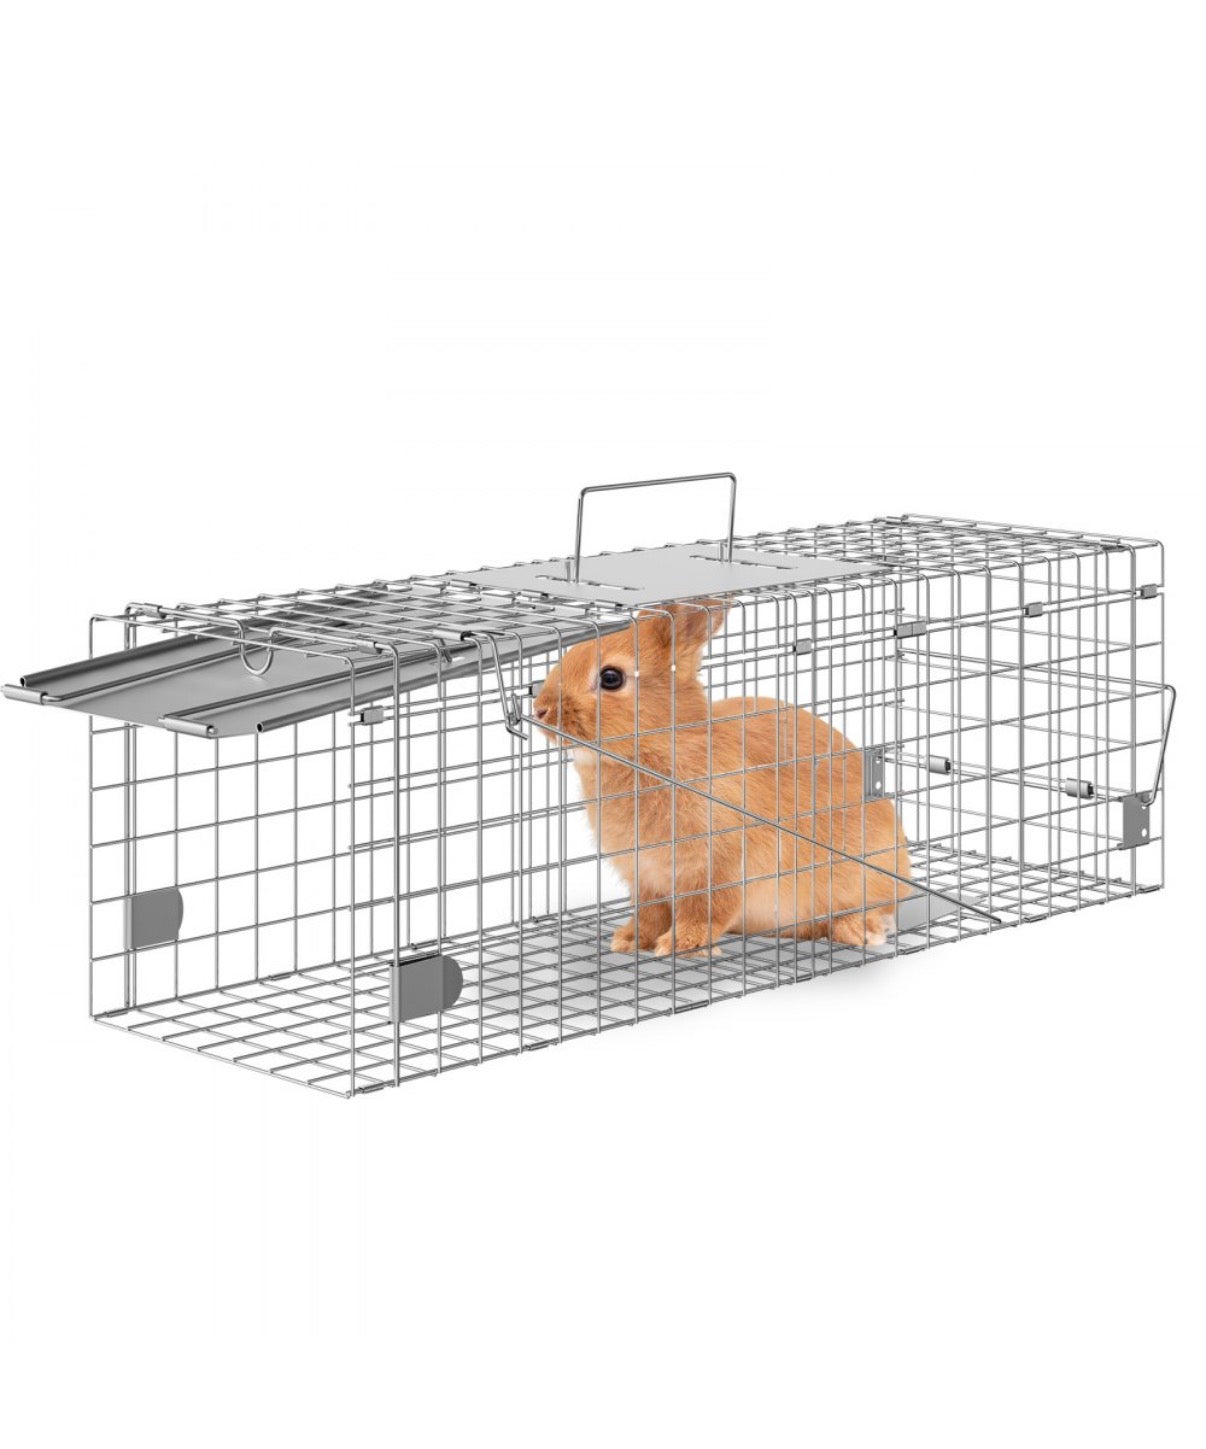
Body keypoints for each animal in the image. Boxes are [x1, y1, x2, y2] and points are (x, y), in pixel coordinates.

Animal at [532, 599, 912, 958]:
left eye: (611, 677)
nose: (541, 710)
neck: (658, 747)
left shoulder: (720, 866)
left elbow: (705, 910)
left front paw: (682, 944)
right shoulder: (646, 877)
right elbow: (650, 914)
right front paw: (629, 940)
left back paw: (862, 931)